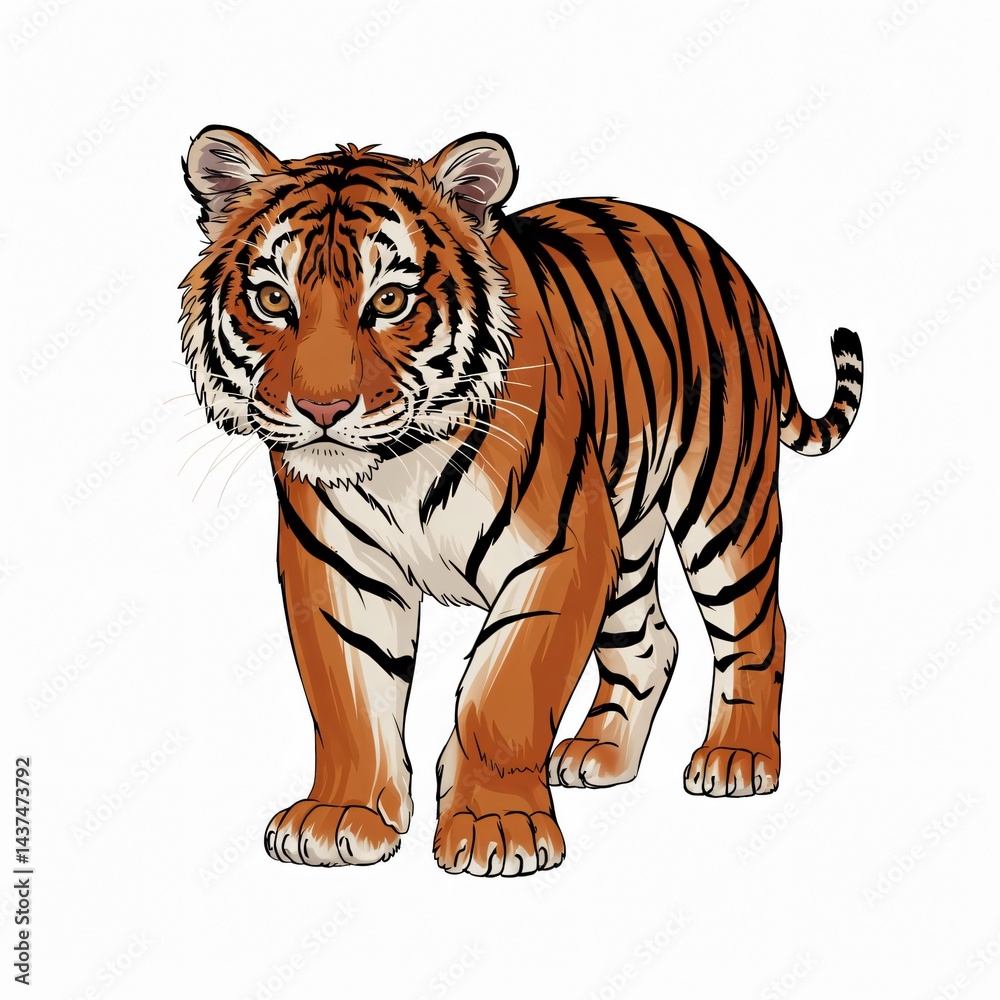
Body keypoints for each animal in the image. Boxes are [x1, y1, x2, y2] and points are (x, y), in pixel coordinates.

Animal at [180, 125, 863, 877]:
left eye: (388, 302)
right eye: (274, 301)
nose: (322, 410)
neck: (397, 466)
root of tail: (723, 257)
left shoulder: (558, 549)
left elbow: (503, 690)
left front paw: (496, 827)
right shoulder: (337, 568)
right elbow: (350, 699)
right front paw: (342, 817)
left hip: (722, 504)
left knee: (756, 629)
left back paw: (737, 757)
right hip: (627, 539)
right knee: (650, 642)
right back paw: (599, 754)